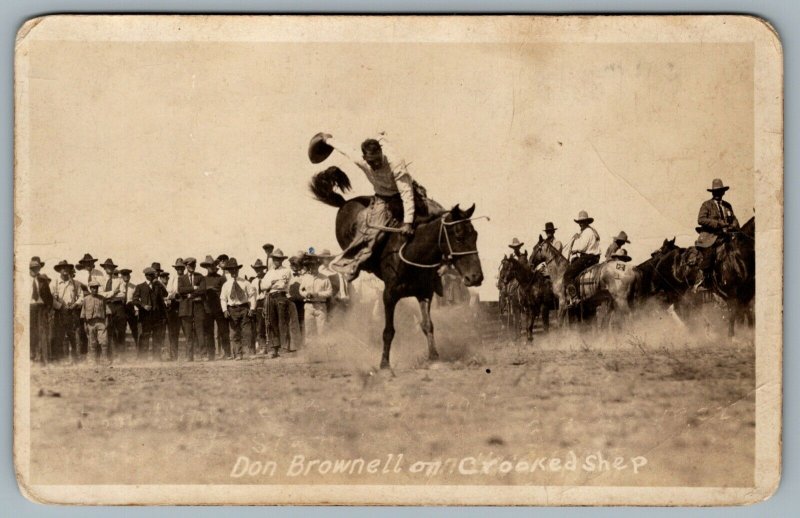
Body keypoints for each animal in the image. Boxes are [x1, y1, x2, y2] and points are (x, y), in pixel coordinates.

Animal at [308, 168, 482, 370]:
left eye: (475, 235)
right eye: (459, 235)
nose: (476, 277)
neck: (413, 254)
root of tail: (345, 202)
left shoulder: (425, 293)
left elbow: (428, 325)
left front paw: (434, 357)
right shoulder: (388, 295)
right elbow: (388, 331)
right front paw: (384, 363)